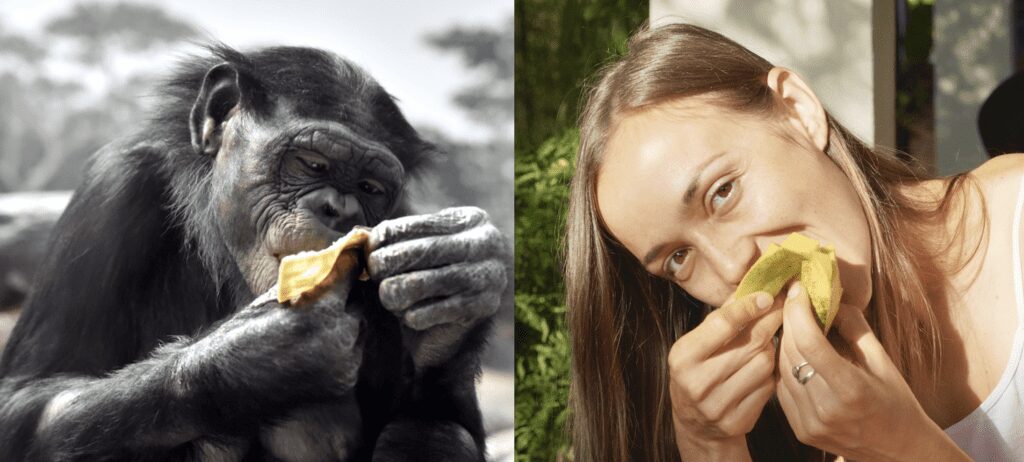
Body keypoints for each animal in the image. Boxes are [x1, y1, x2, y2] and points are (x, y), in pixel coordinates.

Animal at [0, 44, 507, 462]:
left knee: (435, 434)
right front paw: (258, 358)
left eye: (369, 188)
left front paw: (458, 278)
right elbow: (29, 391)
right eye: (313, 163)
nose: (337, 209)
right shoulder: (112, 190)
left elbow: (446, 419)